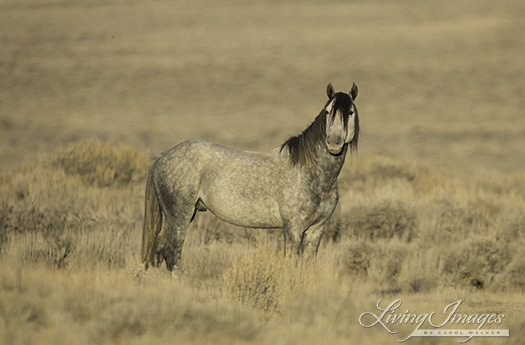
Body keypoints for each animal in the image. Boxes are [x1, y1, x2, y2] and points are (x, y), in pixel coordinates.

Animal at [141, 82, 358, 268]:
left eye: (350, 112)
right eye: (328, 111)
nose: (334, 142)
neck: (314, 174)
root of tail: (163, 156)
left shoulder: (316, 229)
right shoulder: (294, 228)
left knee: (157, 250)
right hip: (179, 215)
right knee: (171, 253)